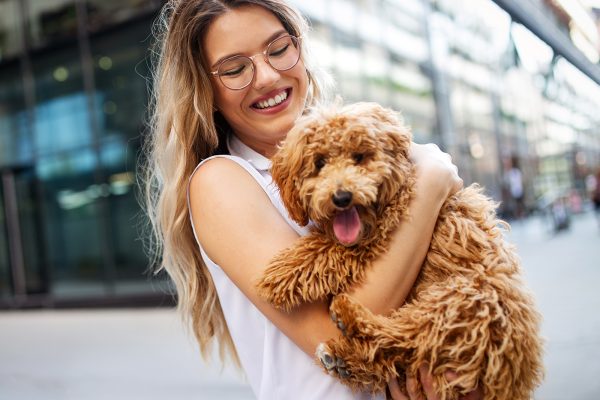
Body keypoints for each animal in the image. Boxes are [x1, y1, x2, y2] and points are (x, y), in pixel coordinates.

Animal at [255, 101, 548, 398]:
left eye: (359, 157)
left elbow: (327, 248)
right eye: (319, 163)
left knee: (406, 335)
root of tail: (513, 377)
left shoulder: (379, 234)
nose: (342, 197)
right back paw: (343, 361)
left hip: (467, 298)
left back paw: (349, 319)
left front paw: (280, 276)